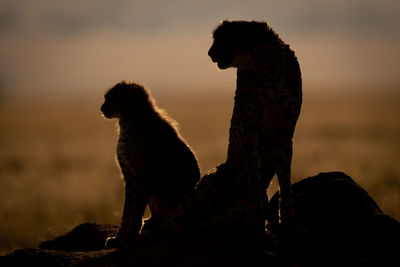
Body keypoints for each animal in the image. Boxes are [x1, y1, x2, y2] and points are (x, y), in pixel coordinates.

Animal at [100, 81, 200, 247]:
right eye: (106, 98)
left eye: (112, 98)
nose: (101, 108)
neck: (129, 120)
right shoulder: (130, 176)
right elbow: (128, 210)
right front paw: (120, 236)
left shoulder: (139, 179)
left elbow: (133, 210)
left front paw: (127, 238)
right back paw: (151, 223)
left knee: (173, 222)